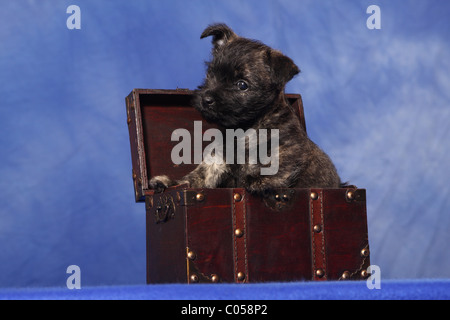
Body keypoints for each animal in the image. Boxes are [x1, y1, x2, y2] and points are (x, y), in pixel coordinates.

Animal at [151, 23, 342, 194]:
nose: (206, 99)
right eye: (210, 73)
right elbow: (195, 178)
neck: (245, 127)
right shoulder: (216, 162)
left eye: (242, 85)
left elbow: (274, 168)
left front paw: (254, 182)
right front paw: (168, 182)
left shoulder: (288, 151)